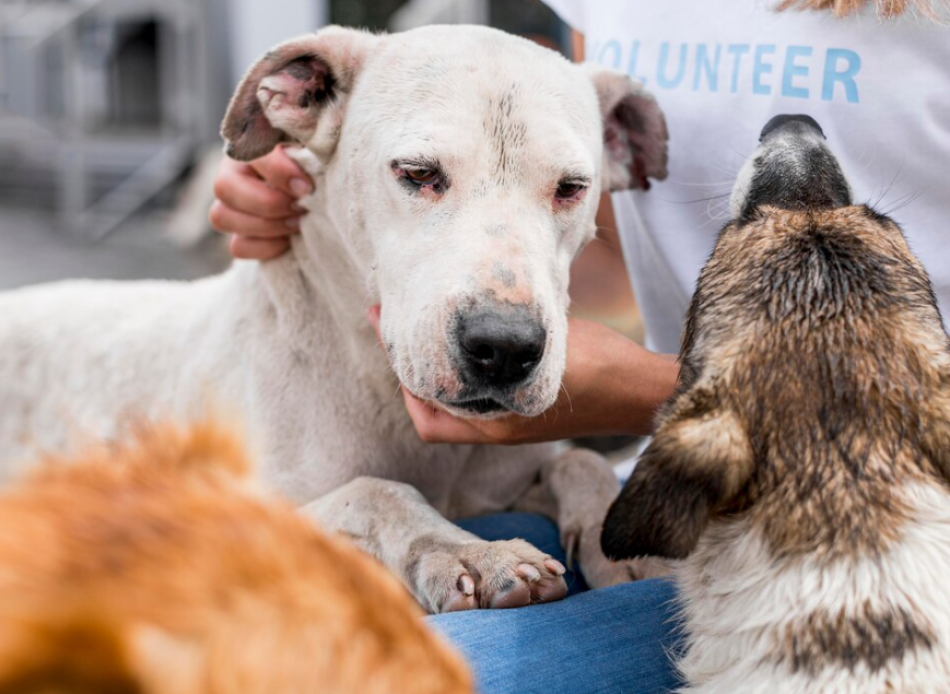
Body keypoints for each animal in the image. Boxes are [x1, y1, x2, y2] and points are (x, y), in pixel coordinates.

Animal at [0, 25, 668, 616]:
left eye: (571, 187)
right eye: (418, 173)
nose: (504, 347)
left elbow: (581, 462)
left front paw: (626, 541)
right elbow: (375, 493)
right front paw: (469, 554)